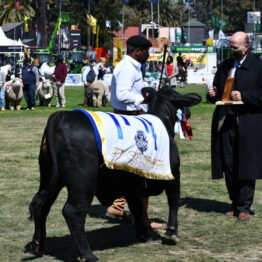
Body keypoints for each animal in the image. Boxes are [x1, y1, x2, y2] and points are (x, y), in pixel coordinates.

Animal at [25, 86, 201, 262]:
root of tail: (61, 116)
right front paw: (171, 233)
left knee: (41, 204)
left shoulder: (133, 184)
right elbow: (173, 201)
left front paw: (144, 234)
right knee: (73, 211)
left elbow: (138, 209)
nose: (188, 113)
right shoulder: (174, 174)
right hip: (83, 182)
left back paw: (37, 245)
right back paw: (87, 255)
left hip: (49, 176)